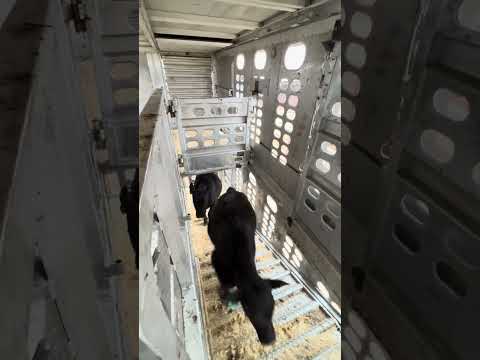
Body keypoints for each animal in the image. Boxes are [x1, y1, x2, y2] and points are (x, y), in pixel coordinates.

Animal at [208, 187, 286, 344]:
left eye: (272, 307)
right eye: (249, 311)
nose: (269, 339)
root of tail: (232, 191)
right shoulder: (216, 260)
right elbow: (224, 285)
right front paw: (223, 295)